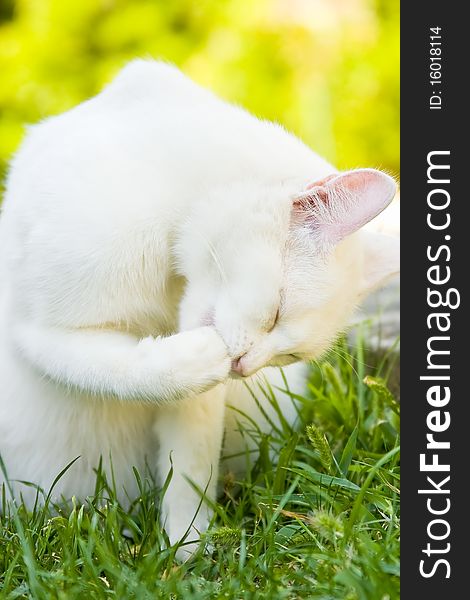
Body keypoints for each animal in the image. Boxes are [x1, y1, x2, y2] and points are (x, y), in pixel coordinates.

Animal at [0, 59, 398, 556]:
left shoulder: (202, 402)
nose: (244, 367)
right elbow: (123, 371)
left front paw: (187, 547)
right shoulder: (37, 330)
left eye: (289, 356)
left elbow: (190, 463)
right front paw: (196, 356)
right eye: (276, 311)